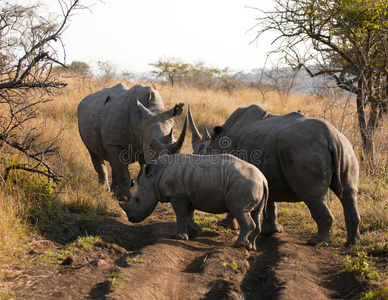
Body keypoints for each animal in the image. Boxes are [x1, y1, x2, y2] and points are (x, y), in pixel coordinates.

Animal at [119, 154, 268, 250]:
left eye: (137, 200)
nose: (131, 219)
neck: (155, 176)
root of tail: (262, 178)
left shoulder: (177, 196)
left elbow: (181, 216)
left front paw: (177, 237)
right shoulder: (187, 196)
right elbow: (188, 215)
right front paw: (194, 233)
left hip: (244, 183)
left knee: (239, 210)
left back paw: (238, 245)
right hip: (255, 184)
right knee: (255, 213)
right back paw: (250, 247)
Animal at [188, 104, 360, 245]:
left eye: (200, 154)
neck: (216, 145)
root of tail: (331, 137)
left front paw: (228, 225)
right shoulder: (267, 172)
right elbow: (271, 201)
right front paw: (272, 231)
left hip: (304, 150)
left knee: (313, 197)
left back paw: (317, 242)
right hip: (346, 149)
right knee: (349, 193)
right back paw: (352, 244)